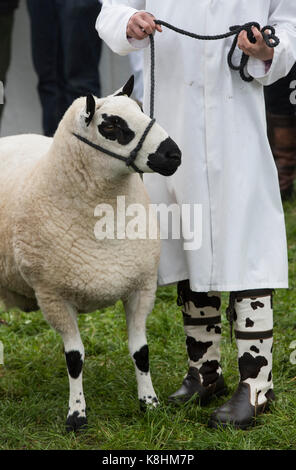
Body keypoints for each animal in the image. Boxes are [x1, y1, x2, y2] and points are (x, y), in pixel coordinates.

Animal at [0, 77, 182, 434]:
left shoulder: (141, 288)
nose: (174, 154)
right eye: (110, 125)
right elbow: (74, 359)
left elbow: (141, 351)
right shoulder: (53, 296)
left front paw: (149, 404)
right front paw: (76, 415)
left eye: (142, 108)